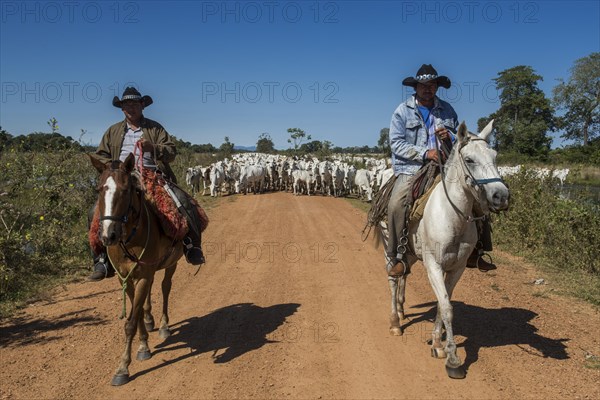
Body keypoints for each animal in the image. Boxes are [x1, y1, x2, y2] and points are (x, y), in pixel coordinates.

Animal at [89, 153, 185, 384]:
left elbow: (131, 322)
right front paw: (143, 346)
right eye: (99, 189)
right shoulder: (125, 277)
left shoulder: (142, 276)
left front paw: (123, 367)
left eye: (126, 190)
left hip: (171, 264)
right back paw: (151, 321)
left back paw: (164, 326)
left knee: (165, 287)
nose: (108, 236)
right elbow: (137, 312)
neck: (129, 239)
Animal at [378, 120, 508, 380]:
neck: (453, 216)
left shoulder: (457, 268)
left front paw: (438, 344)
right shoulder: (434, 266)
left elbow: (442, 303)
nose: (501, 195)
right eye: (469, 159)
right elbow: (447, 307)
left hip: (409, 253)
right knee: (393, 278)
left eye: (494, 156)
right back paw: (395, 321)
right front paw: (453, 358)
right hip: (389, 245)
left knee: (404, 274)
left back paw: (402, 309)